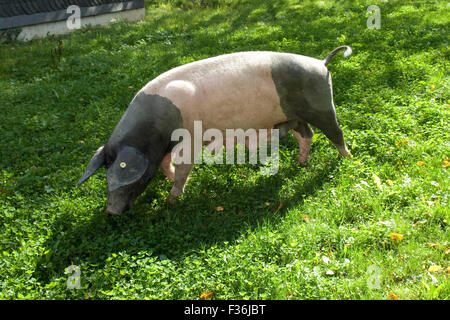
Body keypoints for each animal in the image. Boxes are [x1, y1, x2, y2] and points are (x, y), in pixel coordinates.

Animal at [76, 45, 352, 215]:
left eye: (125, 171)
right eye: (106, 174)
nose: (111, 211)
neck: (154, 130)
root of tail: (321, 62)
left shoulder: (189, 139)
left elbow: (184, 168)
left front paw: (171, 200)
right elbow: (166, 164)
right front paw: (169, 182)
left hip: (323, 107)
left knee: (336, 133)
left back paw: (347, 160)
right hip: (294, 116)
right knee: (307, 135)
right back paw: (301, 163)